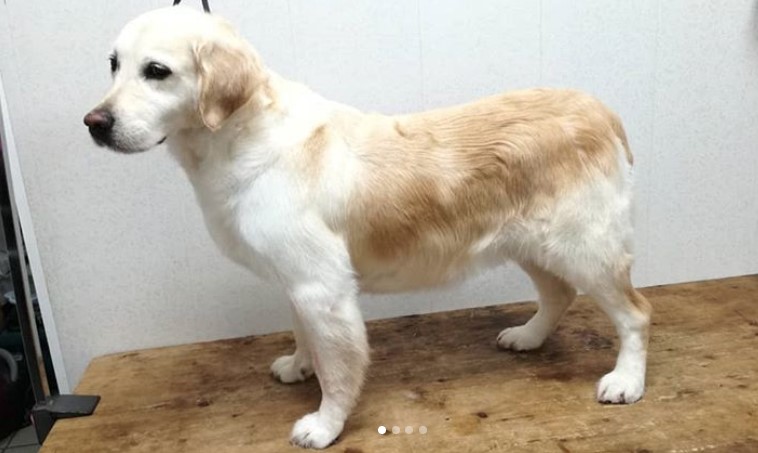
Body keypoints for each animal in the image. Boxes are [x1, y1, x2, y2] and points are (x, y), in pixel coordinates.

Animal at [83, 7, 652, 448]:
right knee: (558, 295)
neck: (239, 139)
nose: (95, 124)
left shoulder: (322, 288)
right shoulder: (297, 282)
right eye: (113, 65)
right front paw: (298, 365)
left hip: (586, 248)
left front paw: (324, 425)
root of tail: (601, 111)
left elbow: (338, 369)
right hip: (537, 245)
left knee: (636, 314)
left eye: (157, 71)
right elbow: (304, 336)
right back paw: (528, 336)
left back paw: (626, 381)